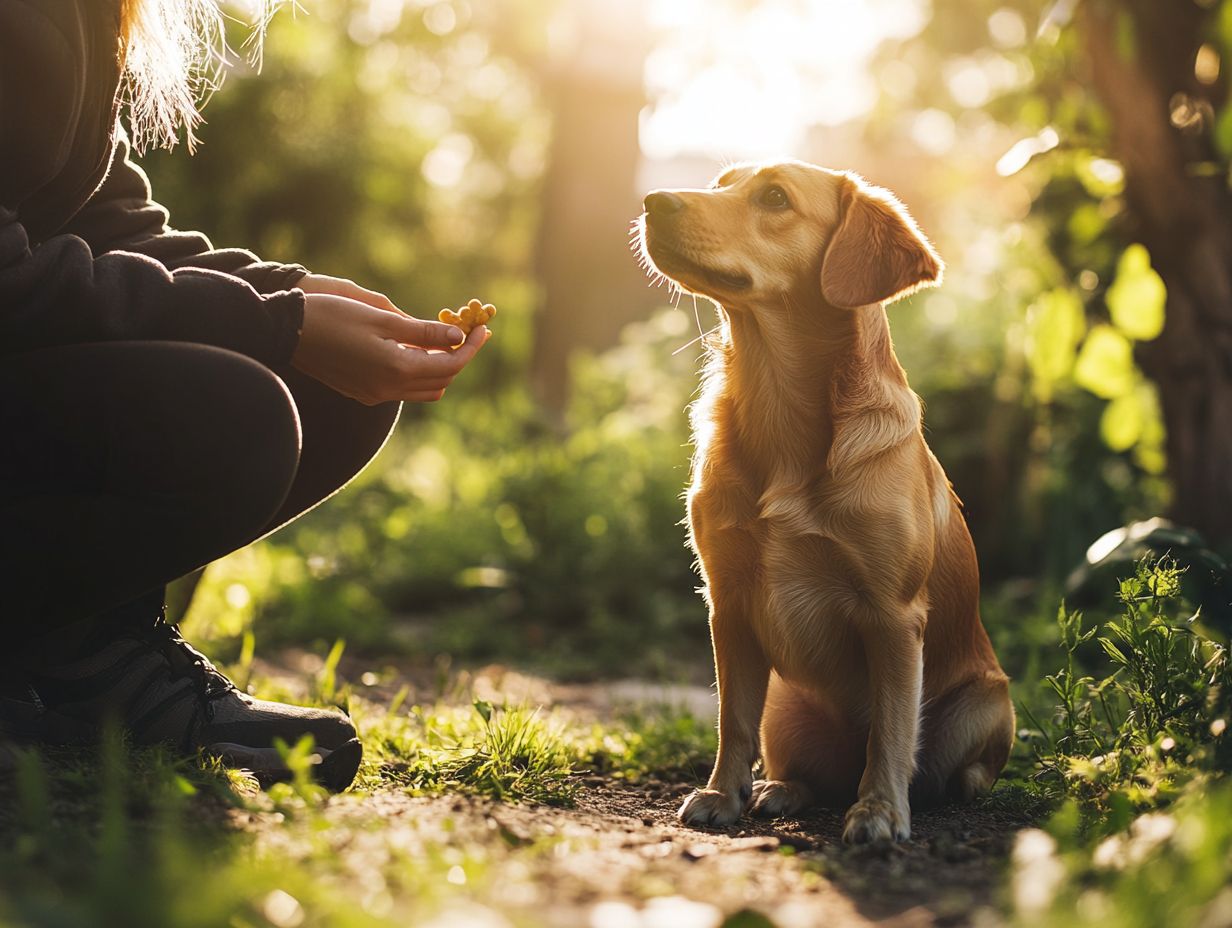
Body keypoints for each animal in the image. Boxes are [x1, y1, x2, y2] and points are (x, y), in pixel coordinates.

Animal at [635, 161, 1010, 847]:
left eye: (775, 197)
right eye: (721, 182)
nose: (653, 200)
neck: (781, 409)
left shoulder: (893, 617)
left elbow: (891, 730)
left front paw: (881, 811)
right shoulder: (727, 601)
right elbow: (733, 720)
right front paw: (721, 794)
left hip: (986, 701)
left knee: (941, 767)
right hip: (787, 704)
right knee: (808, 767)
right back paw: (781, 788)